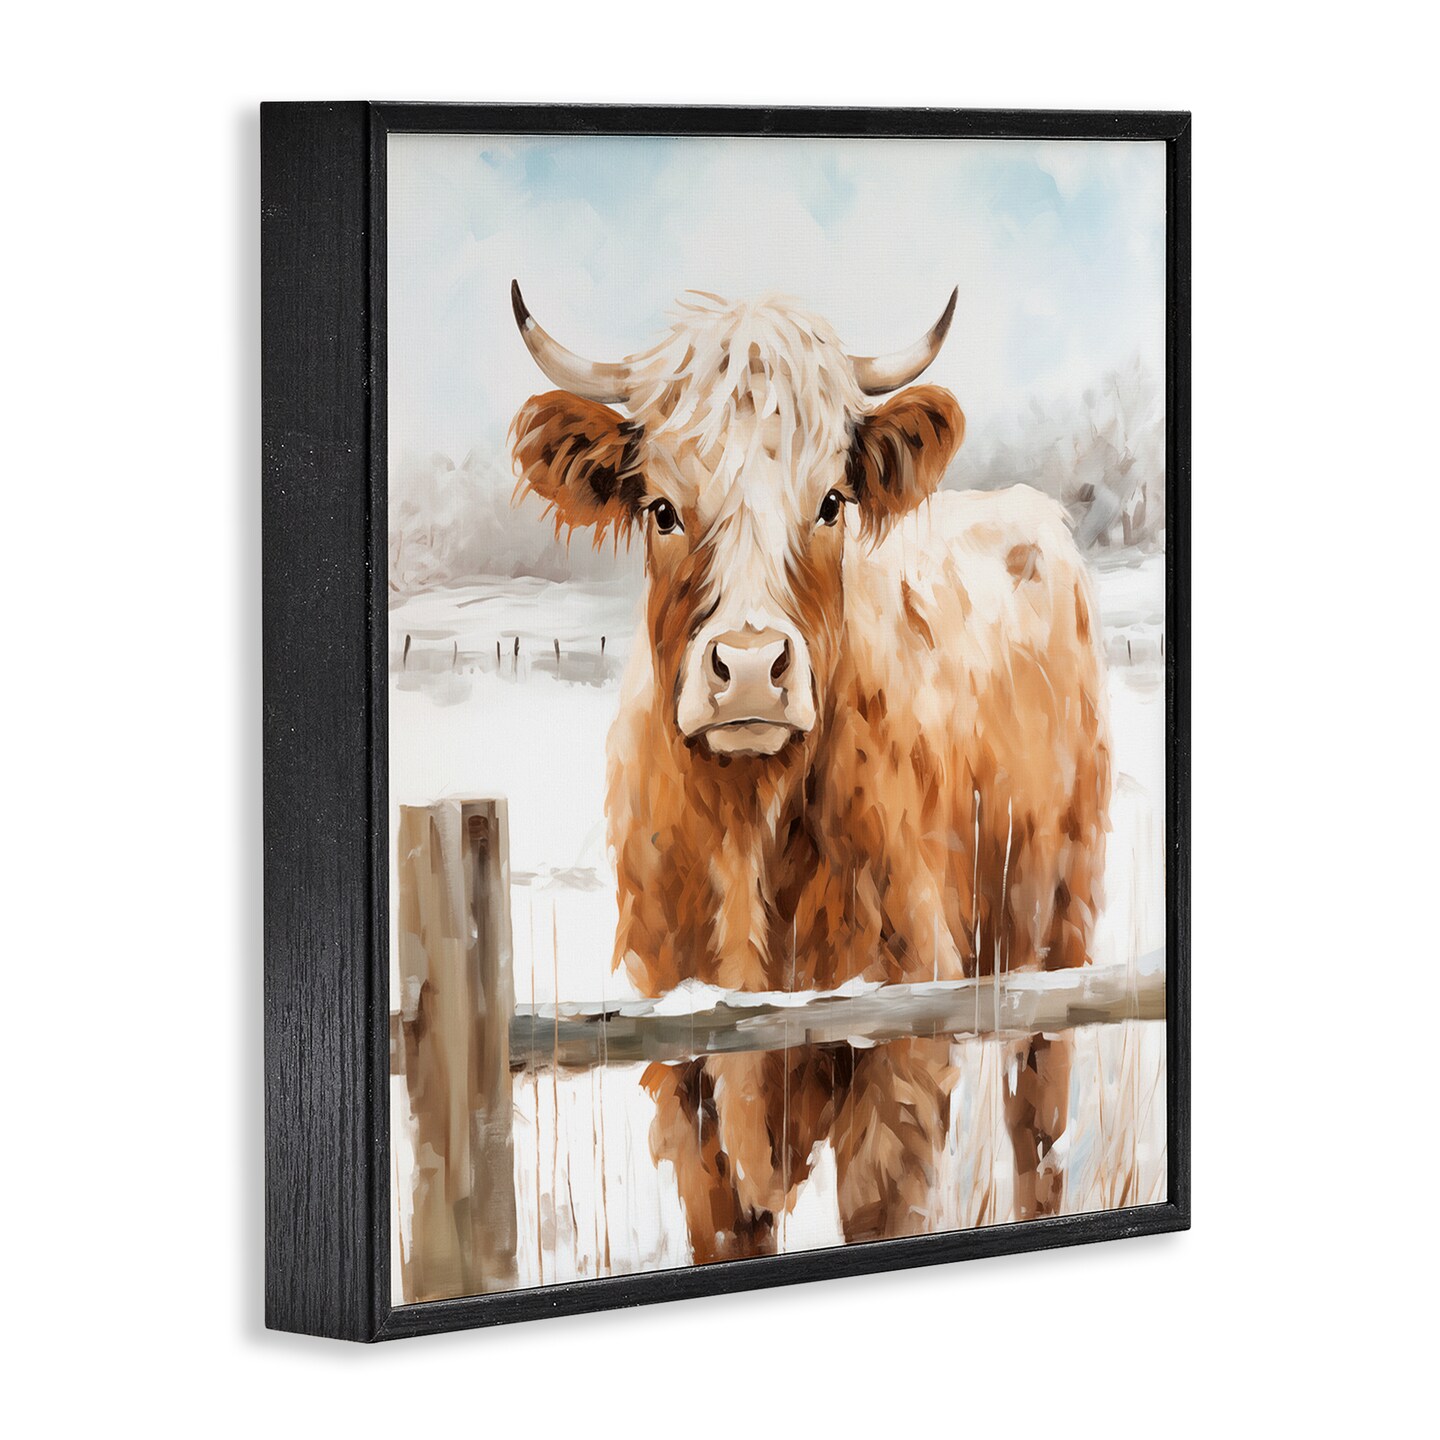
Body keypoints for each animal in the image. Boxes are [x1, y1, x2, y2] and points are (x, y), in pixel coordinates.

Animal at [509, 283, 1111, 1260]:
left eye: (830, 501)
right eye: (663, 509)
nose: (752, 666)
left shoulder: (900, 1049)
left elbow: (882, 1211)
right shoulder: (683, 1071)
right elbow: (726, 1228)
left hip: (1059, 929)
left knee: (1040, 1132)